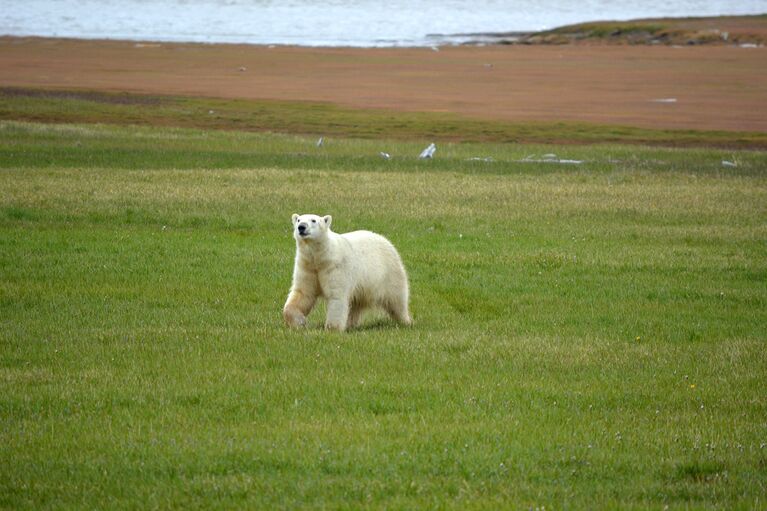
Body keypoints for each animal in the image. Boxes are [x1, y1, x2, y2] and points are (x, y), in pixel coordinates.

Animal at [284, 213, 414, 330]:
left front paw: (332, 329)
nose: (301, 227)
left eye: (313, 220)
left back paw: (405, 321)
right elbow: (303, 293)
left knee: (397, 300)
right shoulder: (307, 266)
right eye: (298, 220)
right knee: (355, 304)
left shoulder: (336, 267)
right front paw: (300, 322)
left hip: (389, 273)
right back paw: (350, 324)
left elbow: (337, 296)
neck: (321, 257)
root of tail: (386, 240)